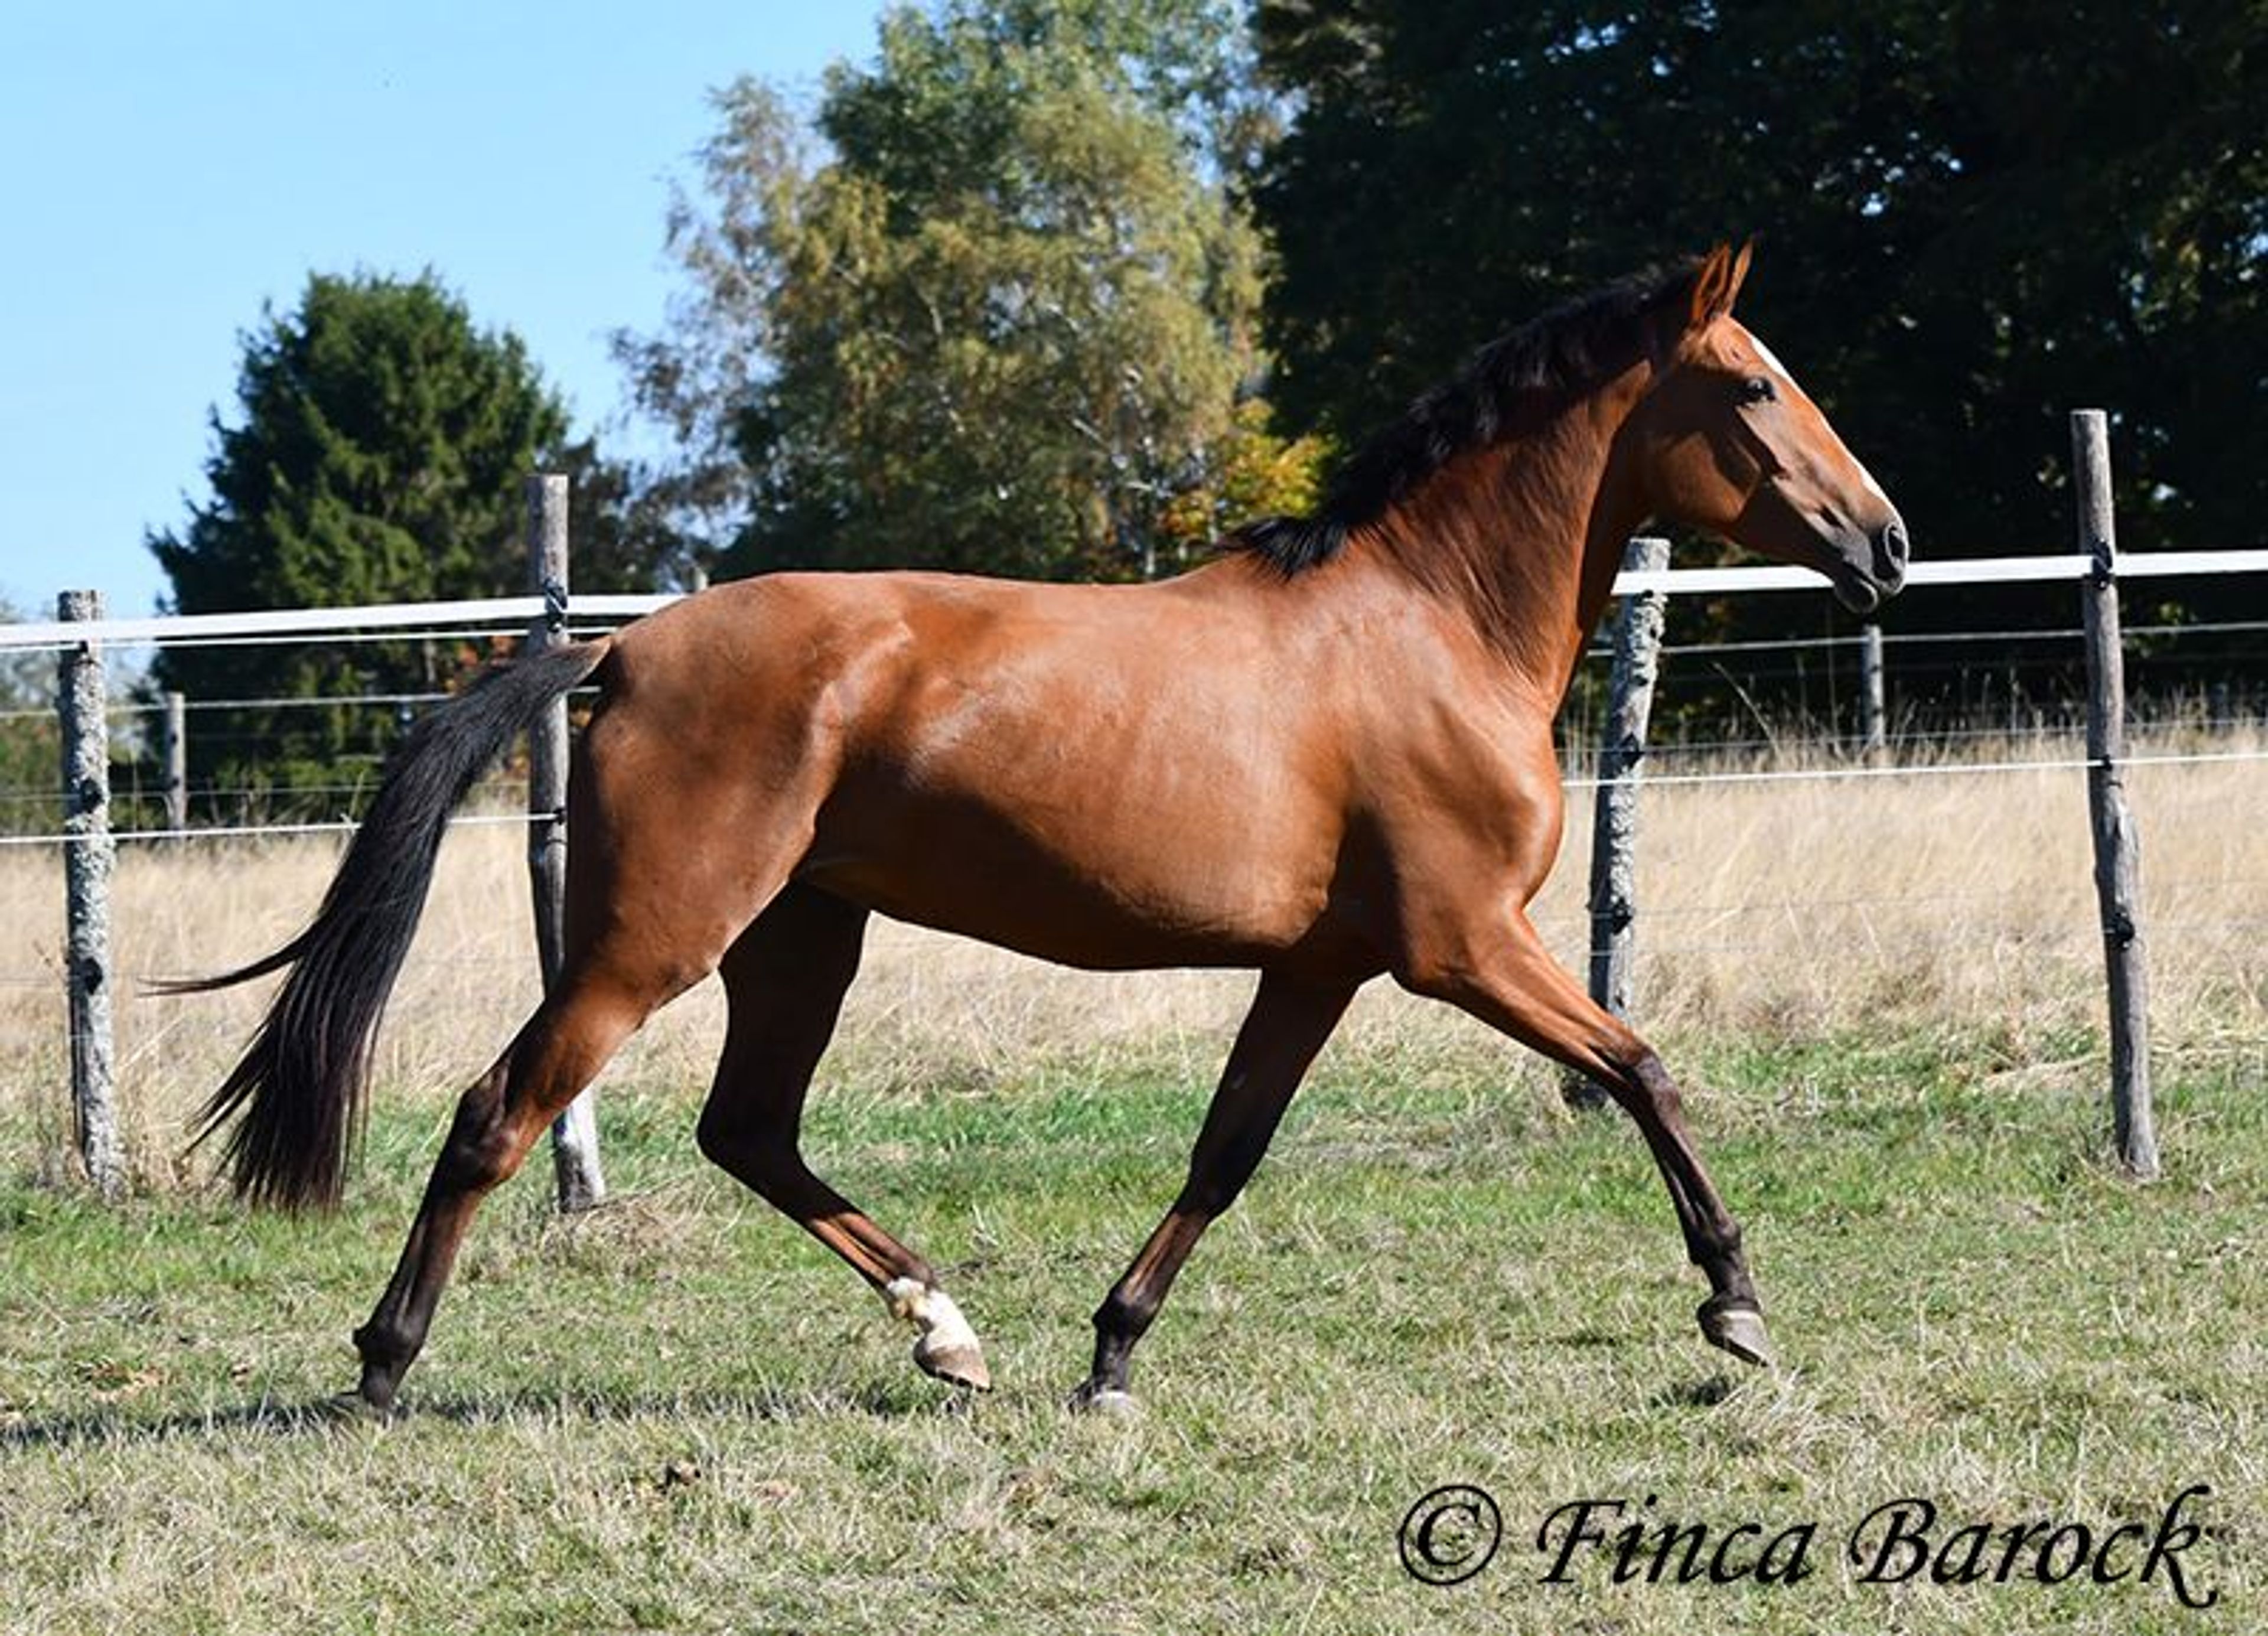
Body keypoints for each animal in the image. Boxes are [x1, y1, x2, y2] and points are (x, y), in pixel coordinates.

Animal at [189, 243, 1906, 1414]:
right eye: (1754, 385)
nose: (1886, 543)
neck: (1428, 625)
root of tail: (623, 649)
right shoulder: (1466, 943)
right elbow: (1643, 1068)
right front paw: (1735, 1306)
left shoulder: (1324, 965)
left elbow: (1228, 1149)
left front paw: (1111, 1351)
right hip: (651, 939)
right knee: (502, 1112)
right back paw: (383, 1363)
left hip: (800, 937)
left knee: (749, 1130)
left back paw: (949, 1333)